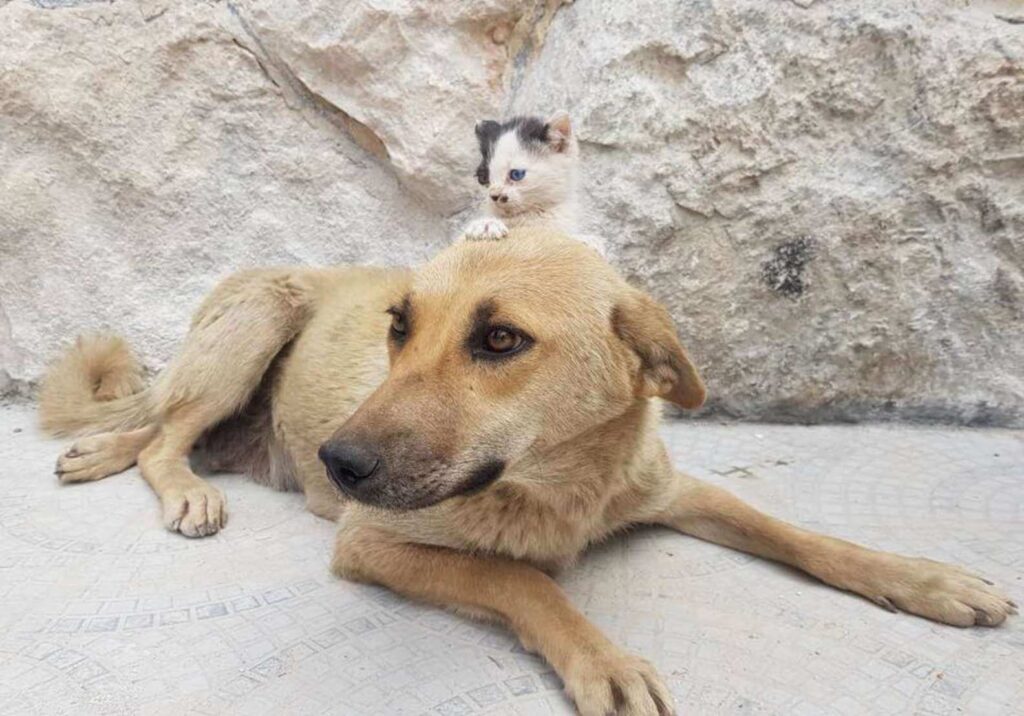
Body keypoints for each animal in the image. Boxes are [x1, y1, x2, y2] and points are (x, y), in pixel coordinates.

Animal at [41, 228, 1015, 716]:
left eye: (501, 339)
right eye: (399, 327)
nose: (336, 463)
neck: (560, 484)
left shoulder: (673, 491)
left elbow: (794, 531)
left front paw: (924, 579)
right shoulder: (369, 542)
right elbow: (525, 583)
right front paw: (603, 660)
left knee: (155, 425)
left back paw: (100, 450)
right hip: (255, 325)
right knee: (166, 434)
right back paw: (184, 488)